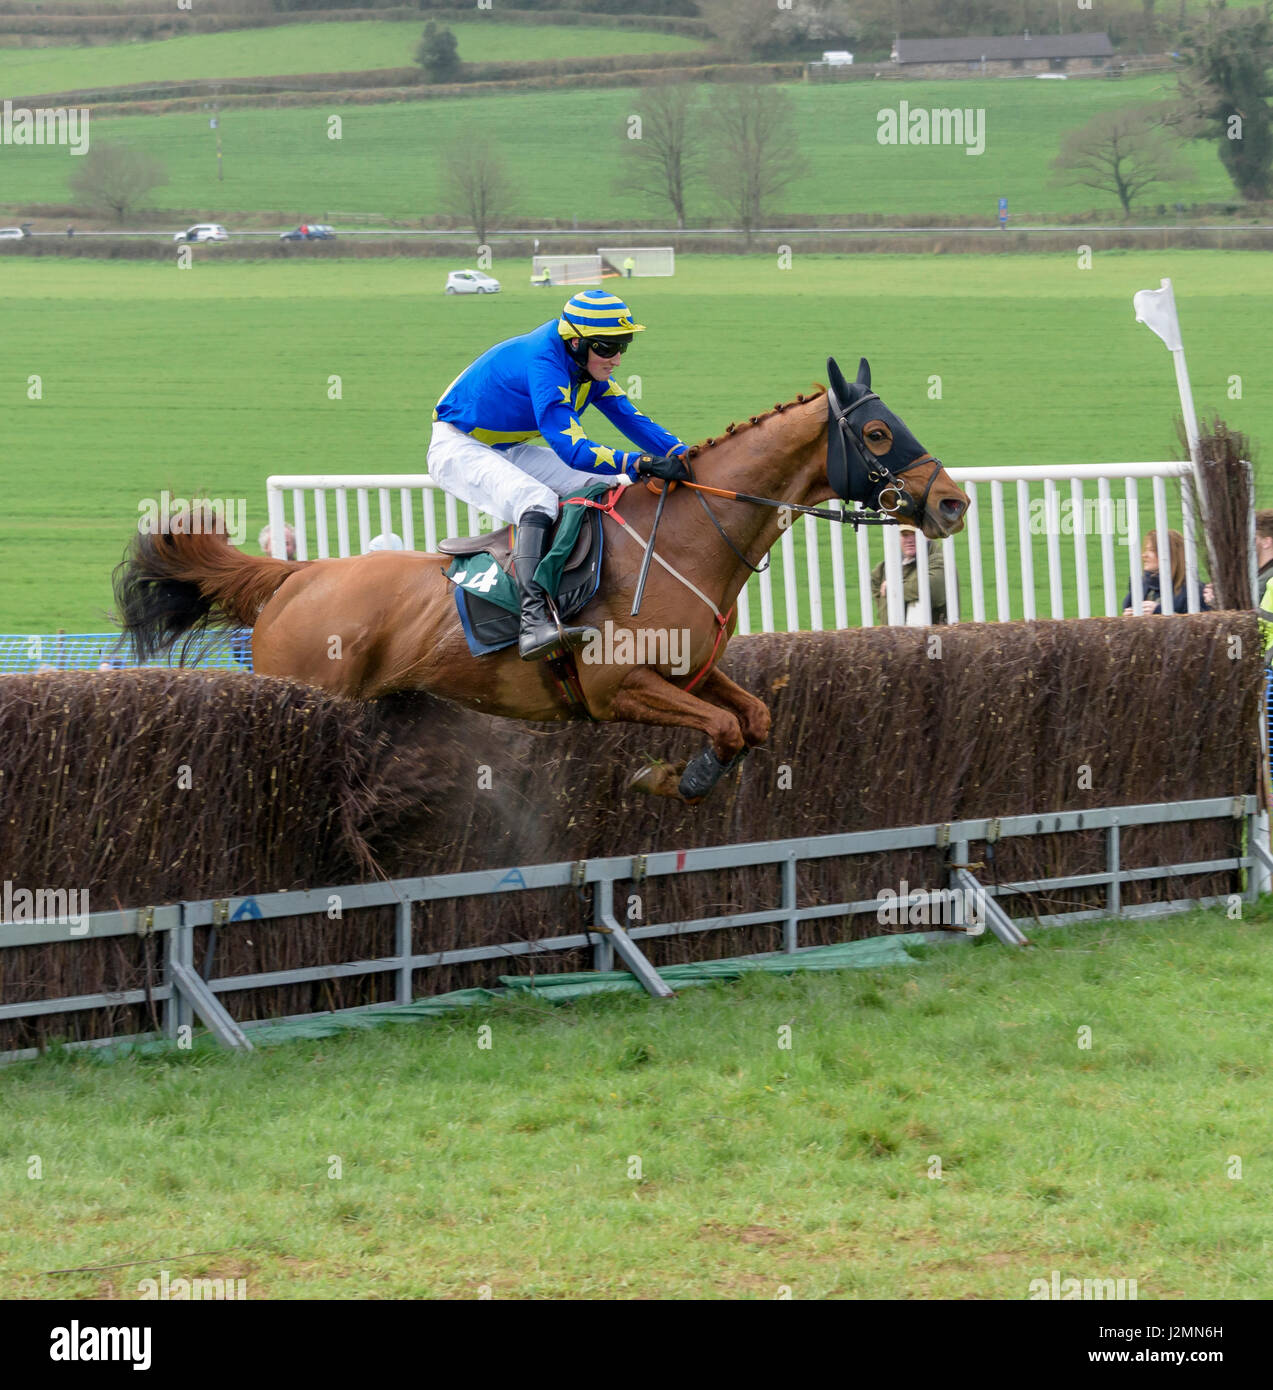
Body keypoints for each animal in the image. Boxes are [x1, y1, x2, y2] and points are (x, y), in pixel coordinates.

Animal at [116, 358, 967, 806]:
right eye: (878, 432)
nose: (951, 502)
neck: (687, 539)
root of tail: (298, 577)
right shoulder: (616, 687)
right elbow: (723, 733)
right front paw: (670, 776)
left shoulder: (691, 673)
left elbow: (752, 719)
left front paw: (672, 773)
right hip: (307, 691)